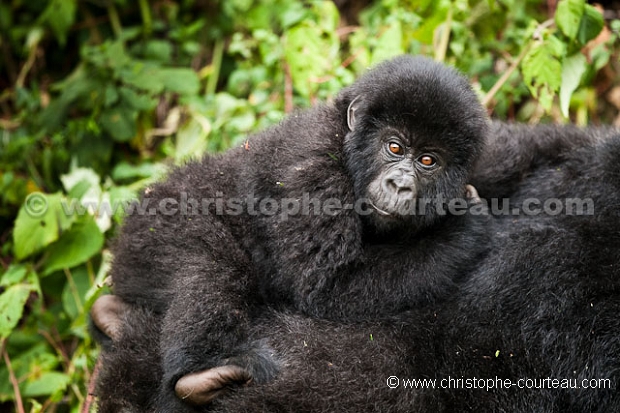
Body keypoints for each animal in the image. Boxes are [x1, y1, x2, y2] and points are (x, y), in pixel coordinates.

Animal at [92, 55, 492, 408]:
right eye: (394, 147)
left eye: (428, 160)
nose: (401, 184)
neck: (345, 144)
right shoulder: (311, 172)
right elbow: (327, 288)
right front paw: (465, 228)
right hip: (152, 228)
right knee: (209, 266)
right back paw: (204, 372)